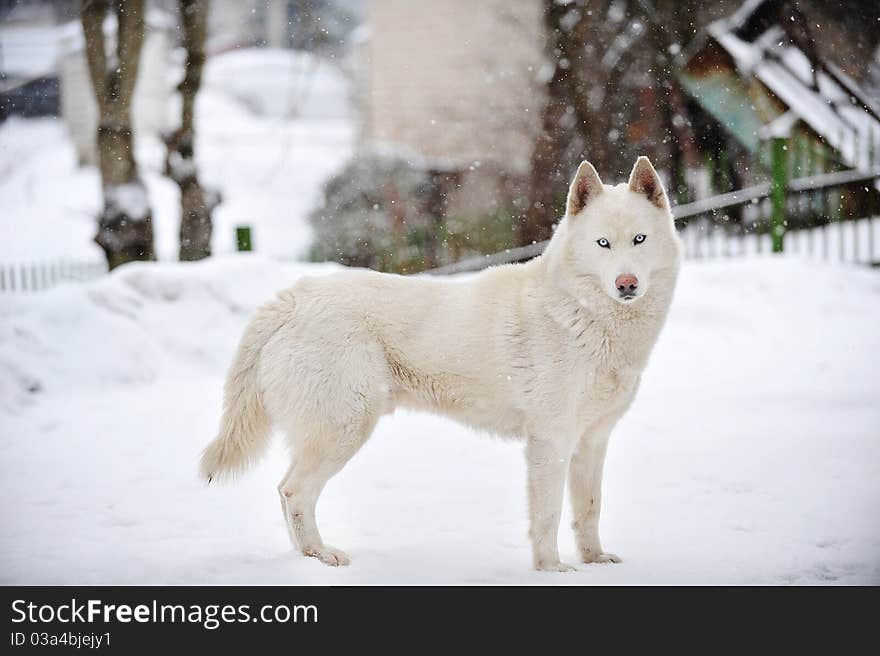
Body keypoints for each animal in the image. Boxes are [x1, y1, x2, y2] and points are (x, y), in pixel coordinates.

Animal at [205, 158, 680, 568]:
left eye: (639, 240)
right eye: (603, 244)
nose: (626, 284)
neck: (584, 314)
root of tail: (292, 298)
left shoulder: (592, 442)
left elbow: (589, 510)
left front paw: (595, 562)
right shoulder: (550, 441)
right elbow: (548, 516)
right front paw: (552, 569)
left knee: (285, 491)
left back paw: (305, 558)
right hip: (344, 428)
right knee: (294, 492)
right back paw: (321, 557)